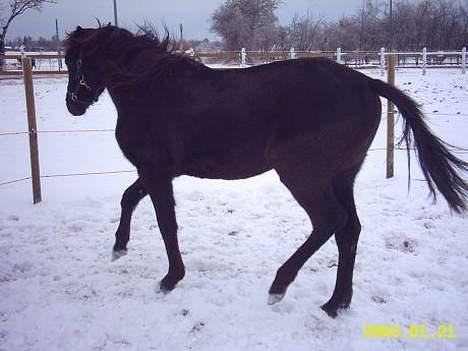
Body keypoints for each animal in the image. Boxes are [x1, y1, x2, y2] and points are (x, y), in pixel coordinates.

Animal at [63, 24, 468, 316]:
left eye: (75, 61)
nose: (73, 105)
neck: (150, 88)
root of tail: (366, 82)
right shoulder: (157, 172)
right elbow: (128, 198)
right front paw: (119, 248)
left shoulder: (156, 171)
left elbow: (165, 224)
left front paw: (170, 279)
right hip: (341, 178)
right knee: (349, 230)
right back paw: (335, 304)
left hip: (304, 177)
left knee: (329, 222)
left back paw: (279, 286)